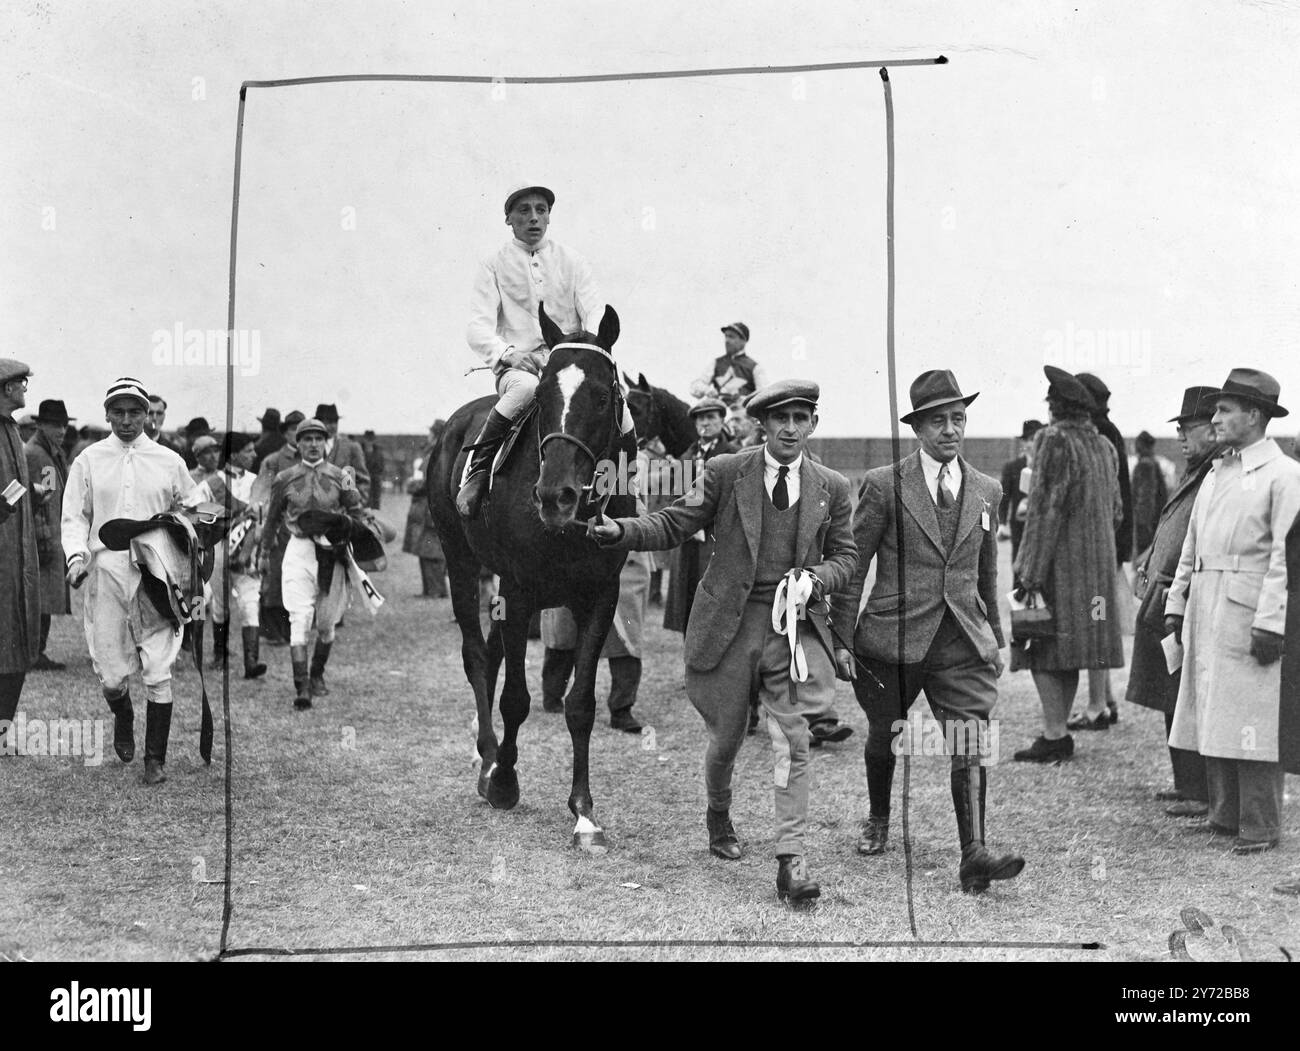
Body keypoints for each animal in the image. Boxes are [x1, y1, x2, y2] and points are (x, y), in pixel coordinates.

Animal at [426, 305, 634, 853]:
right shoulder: (518, 591)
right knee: (477, 656)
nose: (555, 495)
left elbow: (580, 704)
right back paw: (488, 755)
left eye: (601, 397)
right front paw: (503, 781)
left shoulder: (599, 596)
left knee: (492, 653)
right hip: (461, 563)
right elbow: (515, 698)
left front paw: (583, 813)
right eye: (541, 398)